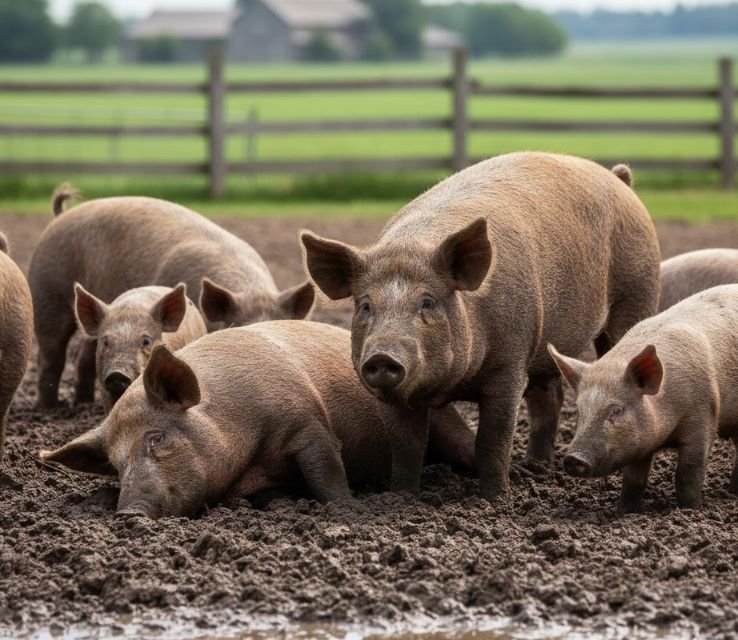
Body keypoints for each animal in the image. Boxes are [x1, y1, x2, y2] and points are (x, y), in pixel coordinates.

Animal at [38, 321, 475, 518]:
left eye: (156, 438)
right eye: (115, 463)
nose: (128, 514)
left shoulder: (307, 421)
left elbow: (326, 471)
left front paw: (346, 506)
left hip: (445, 422)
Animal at [301, 152, 660, 502]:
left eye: (427, 302)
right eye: (365, 306)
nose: (382, 356)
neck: (450, 386)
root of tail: (618, 178)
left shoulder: (510, 365)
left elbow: (492, 441)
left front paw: (495, 501)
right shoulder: (390, 396)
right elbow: (406, 447)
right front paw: (400, 498)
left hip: (637, 293)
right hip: (545, 349)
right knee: (549, 398)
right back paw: (536, 466)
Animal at [549, 284, 738, 511]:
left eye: (616, 410)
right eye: (580, 410)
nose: (573, 458)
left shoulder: (703, 417)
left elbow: (687, 476)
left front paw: (691, 510)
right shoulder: (638, 445)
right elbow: (633, 481)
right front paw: (623, 511)